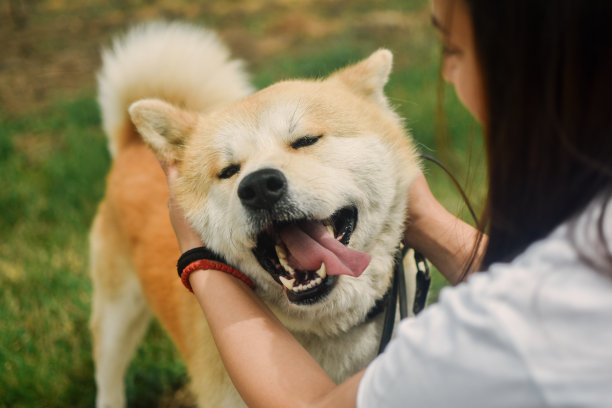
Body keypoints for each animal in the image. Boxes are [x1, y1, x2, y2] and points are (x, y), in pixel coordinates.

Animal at [89, 22, 420, 408]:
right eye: (229, 171)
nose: (260, 186)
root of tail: (131, 145)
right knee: (108, 376)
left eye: (306, 140)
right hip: (118, 314)